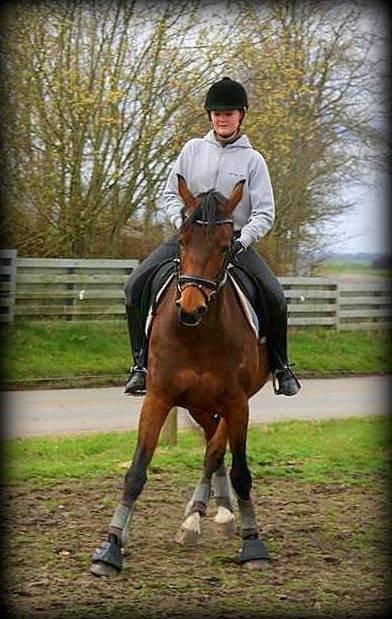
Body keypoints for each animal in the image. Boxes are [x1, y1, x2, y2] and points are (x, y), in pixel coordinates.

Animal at [90, 173, 272, 576]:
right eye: (183, 239)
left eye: (226, 246)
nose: (190, 308)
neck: (198, 333)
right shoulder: (159, 398)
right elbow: (137, 471)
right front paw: (111, 547)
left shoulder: (238, 403)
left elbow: (240, 471)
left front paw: (253, 543)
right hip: (197, 405)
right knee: (210, 443)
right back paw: (202, 514)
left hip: (227, 403)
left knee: (214, 448)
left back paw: (211, 515)